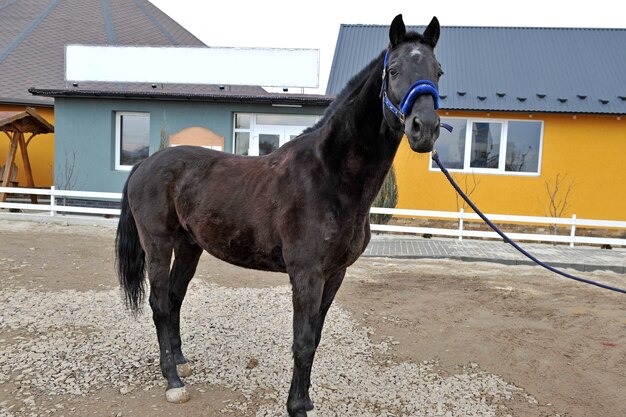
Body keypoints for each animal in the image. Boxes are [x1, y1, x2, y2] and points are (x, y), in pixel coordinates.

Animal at [116, 14, 438, 414]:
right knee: (160, 304)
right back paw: (173, 381)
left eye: (438, 72)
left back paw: (181, 363)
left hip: (189, 245)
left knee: (175, 299)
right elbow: (302, 341)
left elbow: (315, 337)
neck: (329, 175)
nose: (425, 128)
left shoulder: (335, 274)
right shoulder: (306, 275)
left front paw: (308, 399)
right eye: (393, 70)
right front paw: (296, 405)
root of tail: (145, 163)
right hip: (158, 245)